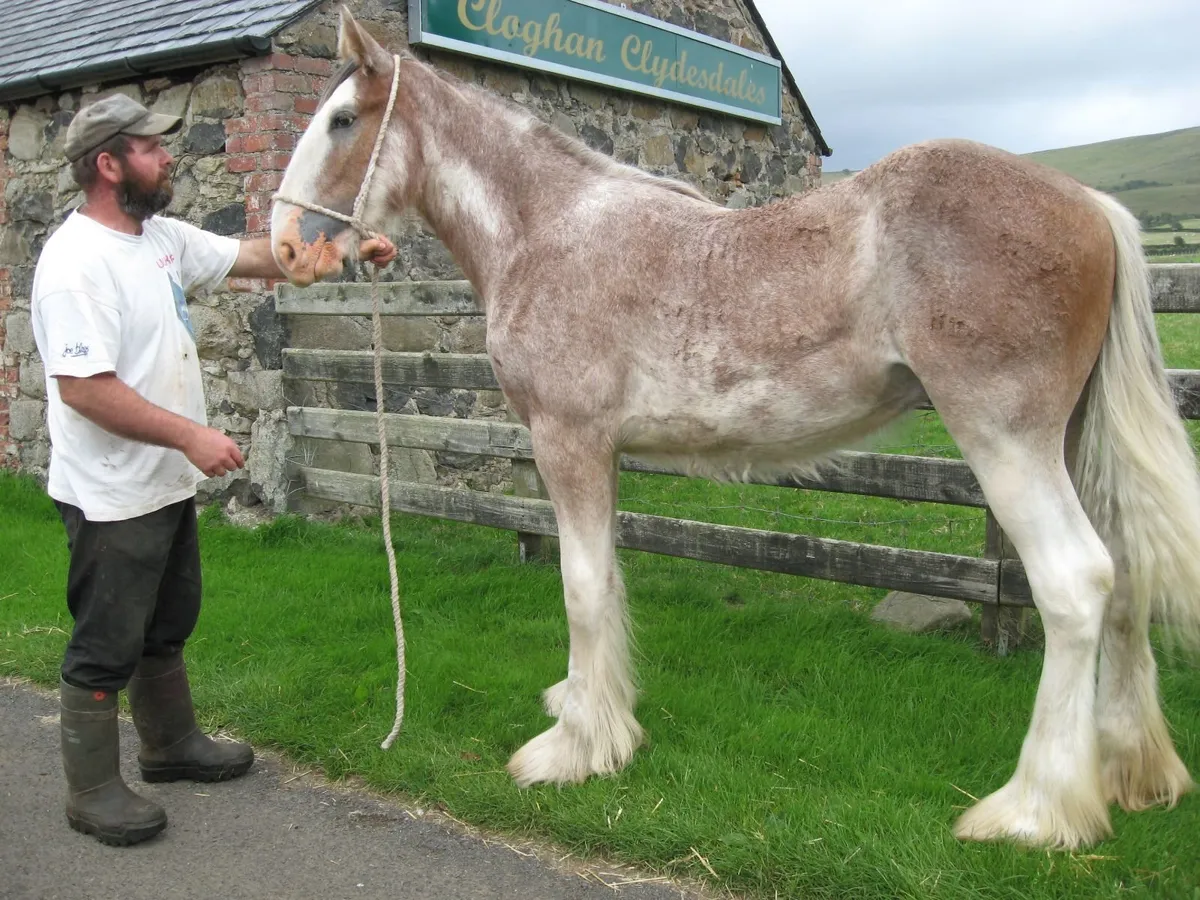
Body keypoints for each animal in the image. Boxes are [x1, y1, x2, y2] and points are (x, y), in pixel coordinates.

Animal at [270, 8, 1200, 850]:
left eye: (343, 120)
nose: (283, 245)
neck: (548, 228)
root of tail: (1090, 204)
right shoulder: (600, 453)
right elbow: (606, 578)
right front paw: (593, 712)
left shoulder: (568, 441)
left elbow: (581, 586)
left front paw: (573, 750)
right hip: (1070, 445)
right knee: (1125, 573)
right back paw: (1128, 771)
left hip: (1007, 445)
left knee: (1075, 585)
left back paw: (1034, 811)